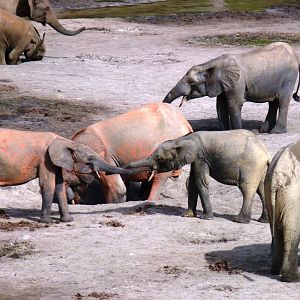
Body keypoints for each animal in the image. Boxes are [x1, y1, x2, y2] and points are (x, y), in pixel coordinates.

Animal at [0, 128, 137, 223]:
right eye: (90, 158)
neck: (66, 141)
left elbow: (59, 186)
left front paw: (67, 220)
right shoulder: (45, 159)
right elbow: (48, 184)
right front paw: (47, 222)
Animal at [125, 129, 270, 223]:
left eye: (159, 158)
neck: (180, 139)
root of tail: (266, 154)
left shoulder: (200, 157)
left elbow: (201, 182)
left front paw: (206, 218)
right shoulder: (195, 159)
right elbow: (192, 183)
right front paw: (187, 215)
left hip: (251, 167)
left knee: (247, 189)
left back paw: (239, 220)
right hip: (261, 169)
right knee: (262, 190)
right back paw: (263, 220)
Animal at [164, 42, 300, 135]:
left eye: (191, 82)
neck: (209, 65)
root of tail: (294, 53)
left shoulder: (237, 82)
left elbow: (234, 104)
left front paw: (238, 132)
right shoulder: (222, 83)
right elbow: (220, 106)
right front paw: (224, 133)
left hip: (289, 77)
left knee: (282, 101)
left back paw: (275, 132)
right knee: (273, 102)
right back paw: (262, 131)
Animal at [264, 141, 300, 282]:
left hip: (269, 192)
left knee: (277, 230)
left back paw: (275, 271)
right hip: (293, 195)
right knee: (291, 231)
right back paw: (292, 278)